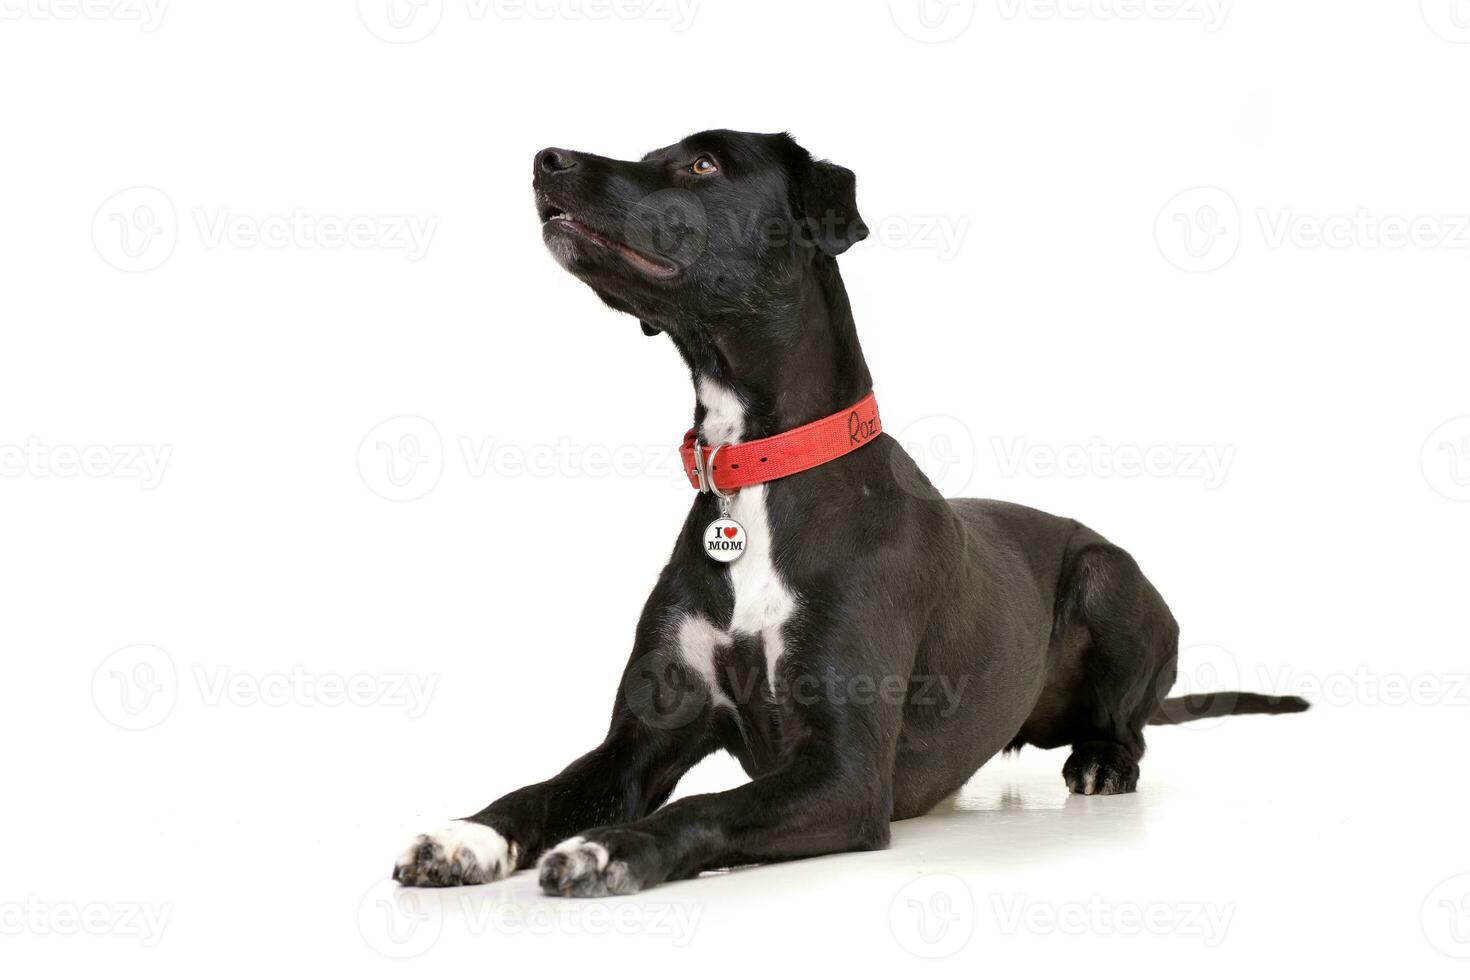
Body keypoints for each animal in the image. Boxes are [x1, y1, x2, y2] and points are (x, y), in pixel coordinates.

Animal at [393, 134, 1311, 899]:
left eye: (702, 164)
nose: (546, 160)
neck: (758, 476)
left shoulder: (846, 775)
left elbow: (704, 807)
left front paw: (607, 849)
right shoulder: (643, 736)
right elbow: (542, 790)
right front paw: (466, 837)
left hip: (1106, 576)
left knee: (1129, 725)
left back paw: (1103, 761)